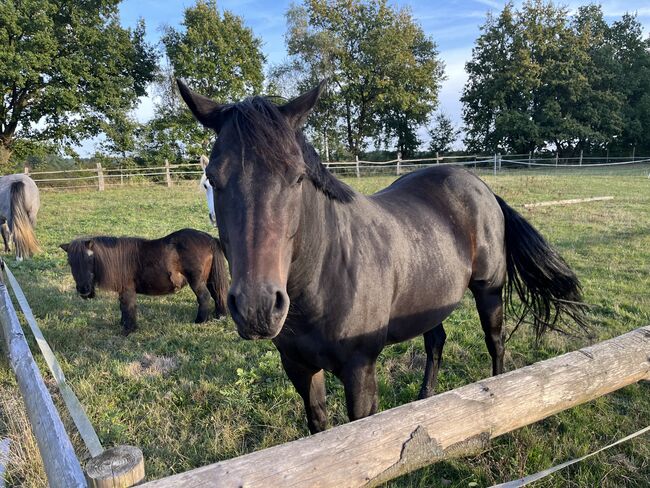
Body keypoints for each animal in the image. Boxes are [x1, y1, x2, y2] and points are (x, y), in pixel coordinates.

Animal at [60, 229, 228, 336]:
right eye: (70, 262)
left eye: (90, 259)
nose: (84, 290)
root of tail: (207, 238)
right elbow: (123, 308)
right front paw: (124, 324)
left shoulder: (127, 290)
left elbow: (128, 308)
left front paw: (129, 329)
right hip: (209, 279)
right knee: (217, 294)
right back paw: (219, 315)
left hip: (197, 281)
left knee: (204, 297)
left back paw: (200, 321)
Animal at [178, 81, 588, 434]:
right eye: (212, 178)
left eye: (296, 177)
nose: (257, 308)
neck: (325, 275)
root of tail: (479, 185)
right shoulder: (298, 367)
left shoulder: (360, 371)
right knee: (435, 341)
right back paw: (424, 400)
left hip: (489, 291)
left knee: (495, 342)